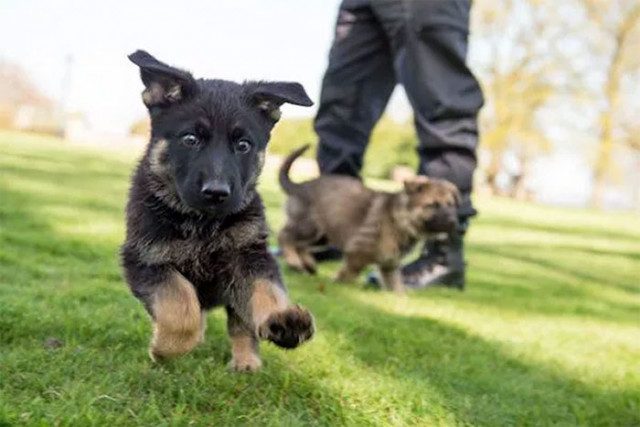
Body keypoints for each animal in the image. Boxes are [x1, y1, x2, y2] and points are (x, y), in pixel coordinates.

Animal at [120, 49, 316, 372]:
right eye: (190, 139)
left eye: (243, 145)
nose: (216, 193)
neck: (202, 223)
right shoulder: (145, 260)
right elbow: (180, 304)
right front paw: (165, 349)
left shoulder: (251, 256)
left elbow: (266, 290)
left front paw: (282, 321)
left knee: (241, 326)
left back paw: (247, 360)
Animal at [278, 145, 460, 292]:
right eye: (433, 205)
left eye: (451, 205)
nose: (453, 222)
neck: (400, 219)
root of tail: (299, 186)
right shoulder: (358, 250)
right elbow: (350, 272)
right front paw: (339, 283)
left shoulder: (390, 265)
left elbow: (396, 286)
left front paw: (401, 301)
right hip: (309, 226)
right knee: (285, 236)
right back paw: (294, 261)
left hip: (322, 235)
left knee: (300, 245)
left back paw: (307, 264)